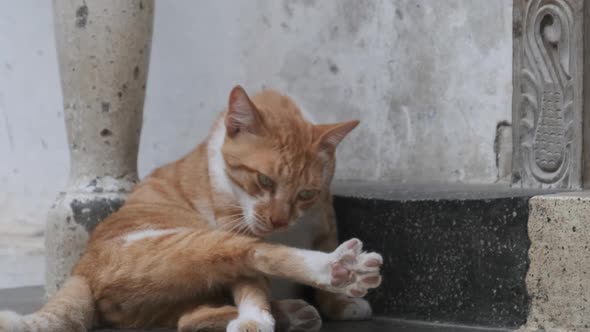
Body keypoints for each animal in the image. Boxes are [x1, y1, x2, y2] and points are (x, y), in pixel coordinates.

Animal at [0, 86, 386, 332]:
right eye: (263, 180)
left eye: (305, 193)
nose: (277, 219)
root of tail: (81, 269)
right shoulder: (234, 226)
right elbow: (252, 281)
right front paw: (255, 320)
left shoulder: (325, 220)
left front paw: (340, 305)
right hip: (190, 242)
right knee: (253, 257)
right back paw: (333, 272)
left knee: (190, 318)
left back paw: (297, 310)